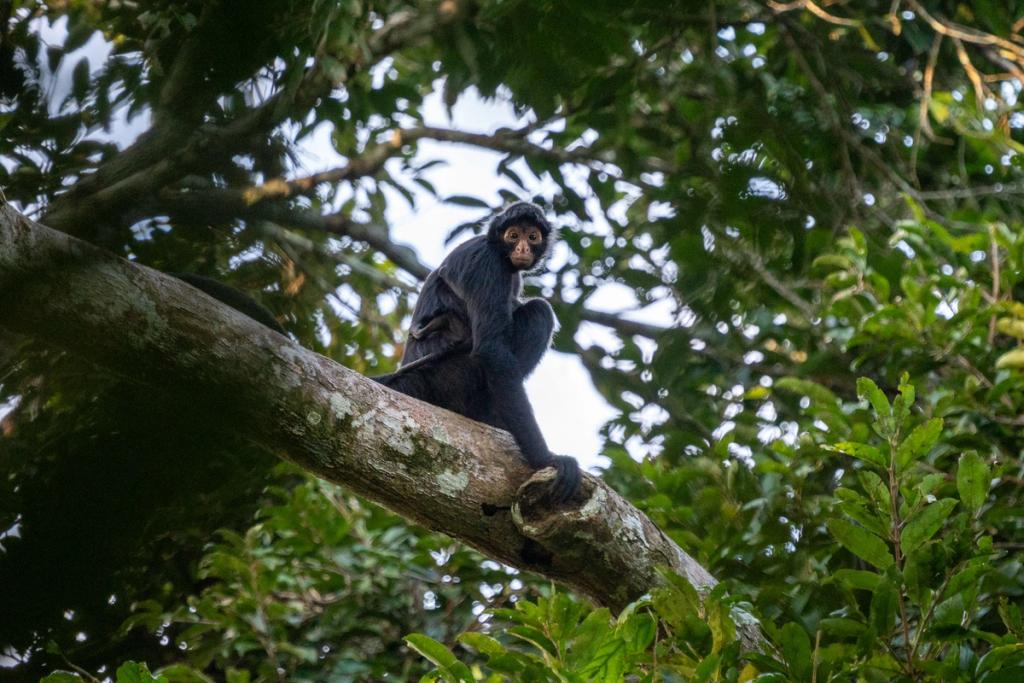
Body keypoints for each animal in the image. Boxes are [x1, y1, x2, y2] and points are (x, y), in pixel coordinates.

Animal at [378, 202, 581, 503]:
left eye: (532, 237)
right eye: (513, 235)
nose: (522, 248)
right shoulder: (487, 264)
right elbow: (492, 350)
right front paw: (546, 459)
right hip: (452, 377)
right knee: (539, 311)